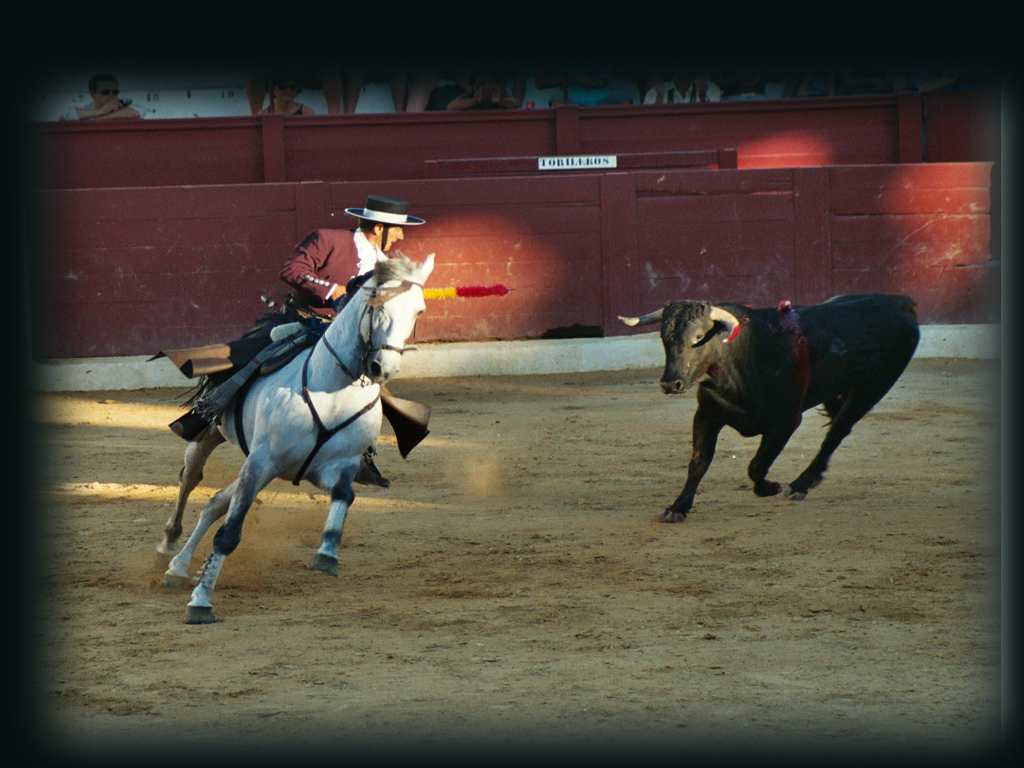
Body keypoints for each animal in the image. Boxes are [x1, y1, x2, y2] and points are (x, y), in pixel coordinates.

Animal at [157, 252, 434, 626]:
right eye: (375, 301)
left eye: (418, 309)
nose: (383, 368)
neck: (333, 391)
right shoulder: (262, 461)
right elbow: (229, 533)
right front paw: (201, 601)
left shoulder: (333, 467)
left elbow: (345, 495)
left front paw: (326, 553)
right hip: (213, 435)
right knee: (191, 478)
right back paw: (170, 546)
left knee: (216, 501)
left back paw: (178, 566)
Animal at [618, 294, 925, 524]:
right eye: (664, 338)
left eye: (699, 336)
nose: (670, 383)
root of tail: (898, 303)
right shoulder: (707, 414)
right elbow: (698, 462)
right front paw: (678, 507)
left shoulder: (786, 421)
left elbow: (756, 465)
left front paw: (770, 488)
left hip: (874, 386)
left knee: (837, 431)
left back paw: (800, 485)